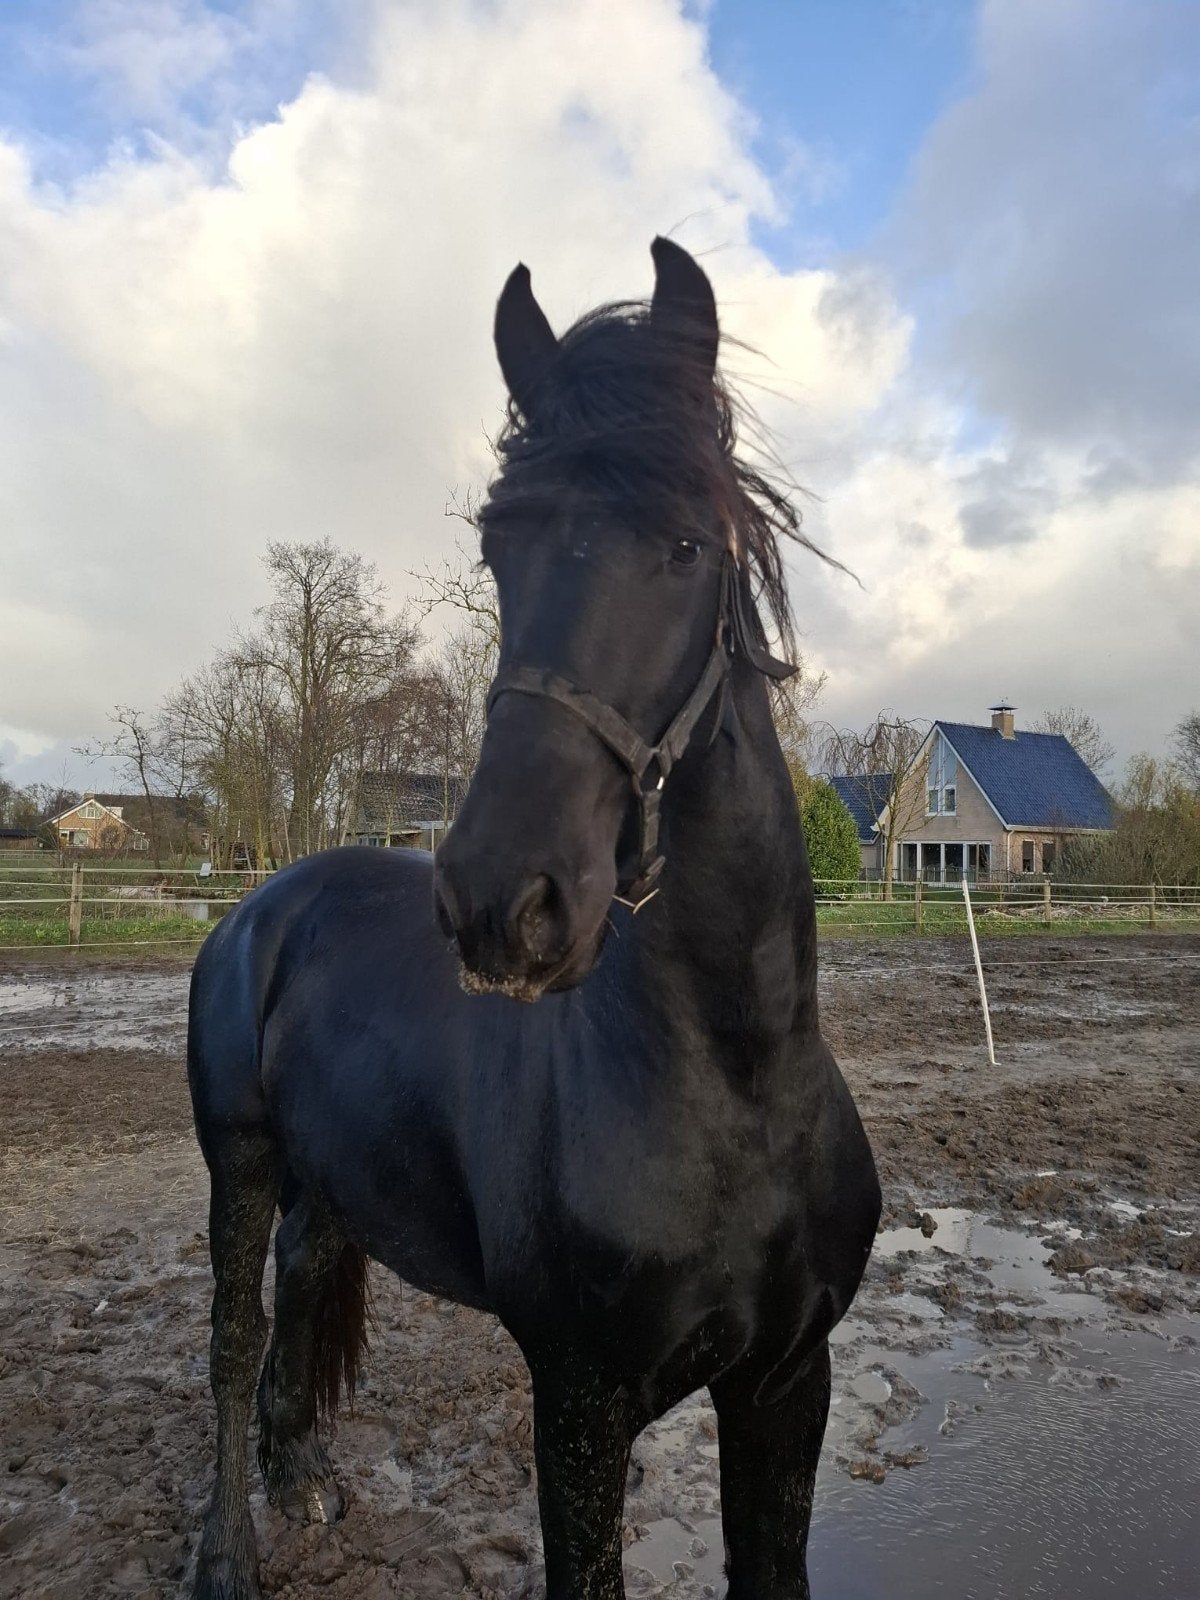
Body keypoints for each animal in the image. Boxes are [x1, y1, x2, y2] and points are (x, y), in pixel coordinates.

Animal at [187, 236, 881, 1600]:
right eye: (498, 545)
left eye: (686, 545)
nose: (501, 899)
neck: (735, 1086)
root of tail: (262, 909)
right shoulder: (579, 1403)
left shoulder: (788, 1382)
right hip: (238, 1162)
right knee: (235, 1338)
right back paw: (230, 1550)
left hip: (332, 1179)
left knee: (302, 1282)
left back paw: (302, 1478)